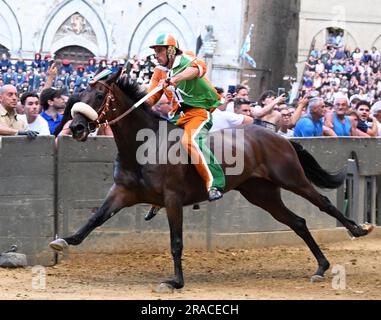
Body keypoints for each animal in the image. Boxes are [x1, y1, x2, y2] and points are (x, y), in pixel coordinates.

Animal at [49, 69, 372, 290]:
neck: (144, 146)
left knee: (323, 203)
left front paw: (176, 281)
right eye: (78, 96)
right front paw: (65, 240)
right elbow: (95, 218)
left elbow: (176, 241)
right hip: (261, 193)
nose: (76, 127)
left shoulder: (172, 199)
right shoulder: (122, 192)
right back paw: (321, 267)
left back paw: (358, 230)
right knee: (298, 222)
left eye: (98, 96)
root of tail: (277, 135)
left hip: (292, 178)